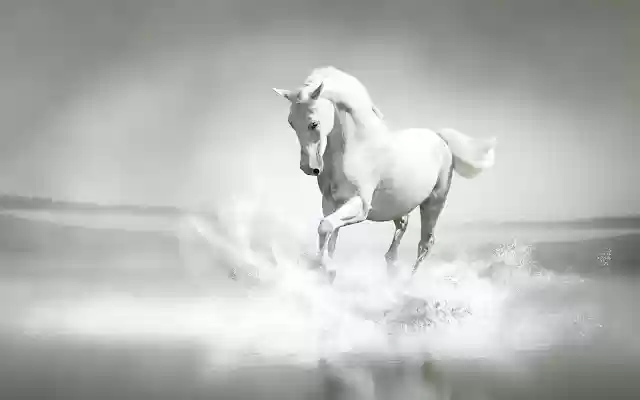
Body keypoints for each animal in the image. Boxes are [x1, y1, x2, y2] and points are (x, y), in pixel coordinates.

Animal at [273, 66, 496, 280]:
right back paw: (392, 265)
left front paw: (328, 269)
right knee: (403, 226)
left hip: (434, 202)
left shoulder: (360, 205)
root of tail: (440, 138)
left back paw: (407, 283)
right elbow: (330, 235)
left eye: (314, 123)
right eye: (291, 123)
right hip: (399, 204)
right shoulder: (329, 203)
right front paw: (326, 270)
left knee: (425, 243)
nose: (309, 168)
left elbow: (325, 227)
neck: (357, 148)